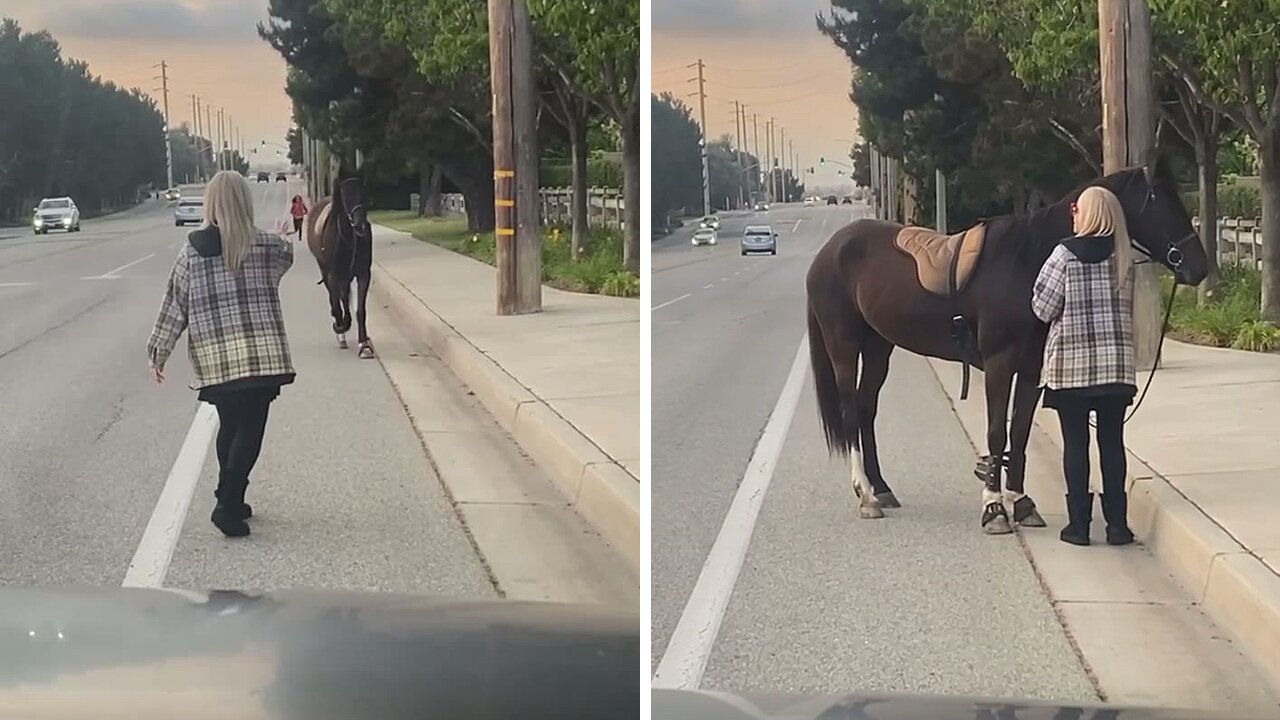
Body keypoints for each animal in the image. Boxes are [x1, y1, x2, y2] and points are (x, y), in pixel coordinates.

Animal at [303, 174, 373, 358]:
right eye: (344, 195)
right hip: (326, 270)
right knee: (336, 299)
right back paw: (341, 331)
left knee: (343, 297)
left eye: (362, 192)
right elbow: (336, 305)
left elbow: (360, 310)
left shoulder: (363, 274)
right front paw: (340, 327)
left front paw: (364, 344)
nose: (361, 225)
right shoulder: (333, 274)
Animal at [808, 163, 1208, 532]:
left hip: (879, 347)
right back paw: (866, 495)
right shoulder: (1000, 364)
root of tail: (827, 252)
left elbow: (1019, 434)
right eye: (1161, 201)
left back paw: (882, 488)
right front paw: (994, 507)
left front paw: (1021, 503)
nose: (1200, 267)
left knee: (866, 411)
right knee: (850, 411)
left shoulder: (1031, 367)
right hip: (844, 346)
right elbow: (997, 432)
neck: (1026, 260)